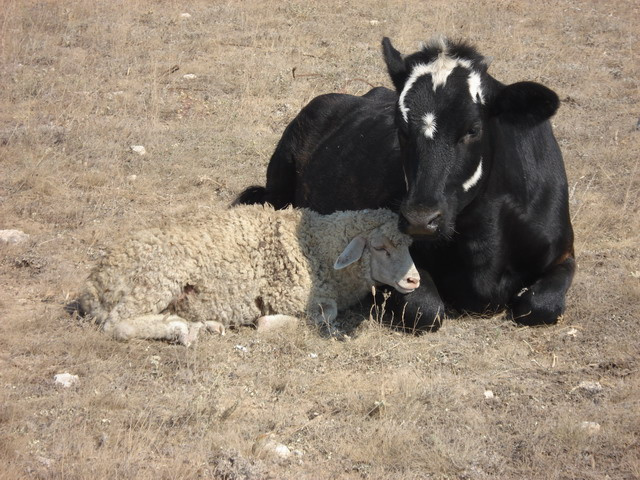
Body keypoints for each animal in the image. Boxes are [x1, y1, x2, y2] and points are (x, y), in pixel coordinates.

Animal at [78, 204, 420, 345]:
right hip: (155, 280)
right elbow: (326, 313)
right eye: (379, 247)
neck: (316, 244)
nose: (413, 280)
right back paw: (179, 328)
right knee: (116, 324)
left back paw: (203, 325)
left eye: (408, 245)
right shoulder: (287, 294)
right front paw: (267, 323)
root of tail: (94, 286)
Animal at [235, 36, 575, 333]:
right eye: (401, 127)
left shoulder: (564, 253)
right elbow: (426, 308)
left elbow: (540, 305)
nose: (420, 219)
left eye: (473, 129)